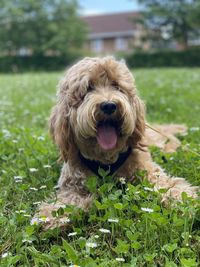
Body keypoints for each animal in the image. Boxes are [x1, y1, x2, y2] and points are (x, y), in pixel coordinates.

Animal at [36, 57, 198, 229]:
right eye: (88, 88)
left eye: (116, 86)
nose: (109, 105)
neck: (107, 158)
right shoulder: (73, 185)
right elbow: (67, 200)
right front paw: (51, 216)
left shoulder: (148, 171)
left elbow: (167, 183)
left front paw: (183, 200)